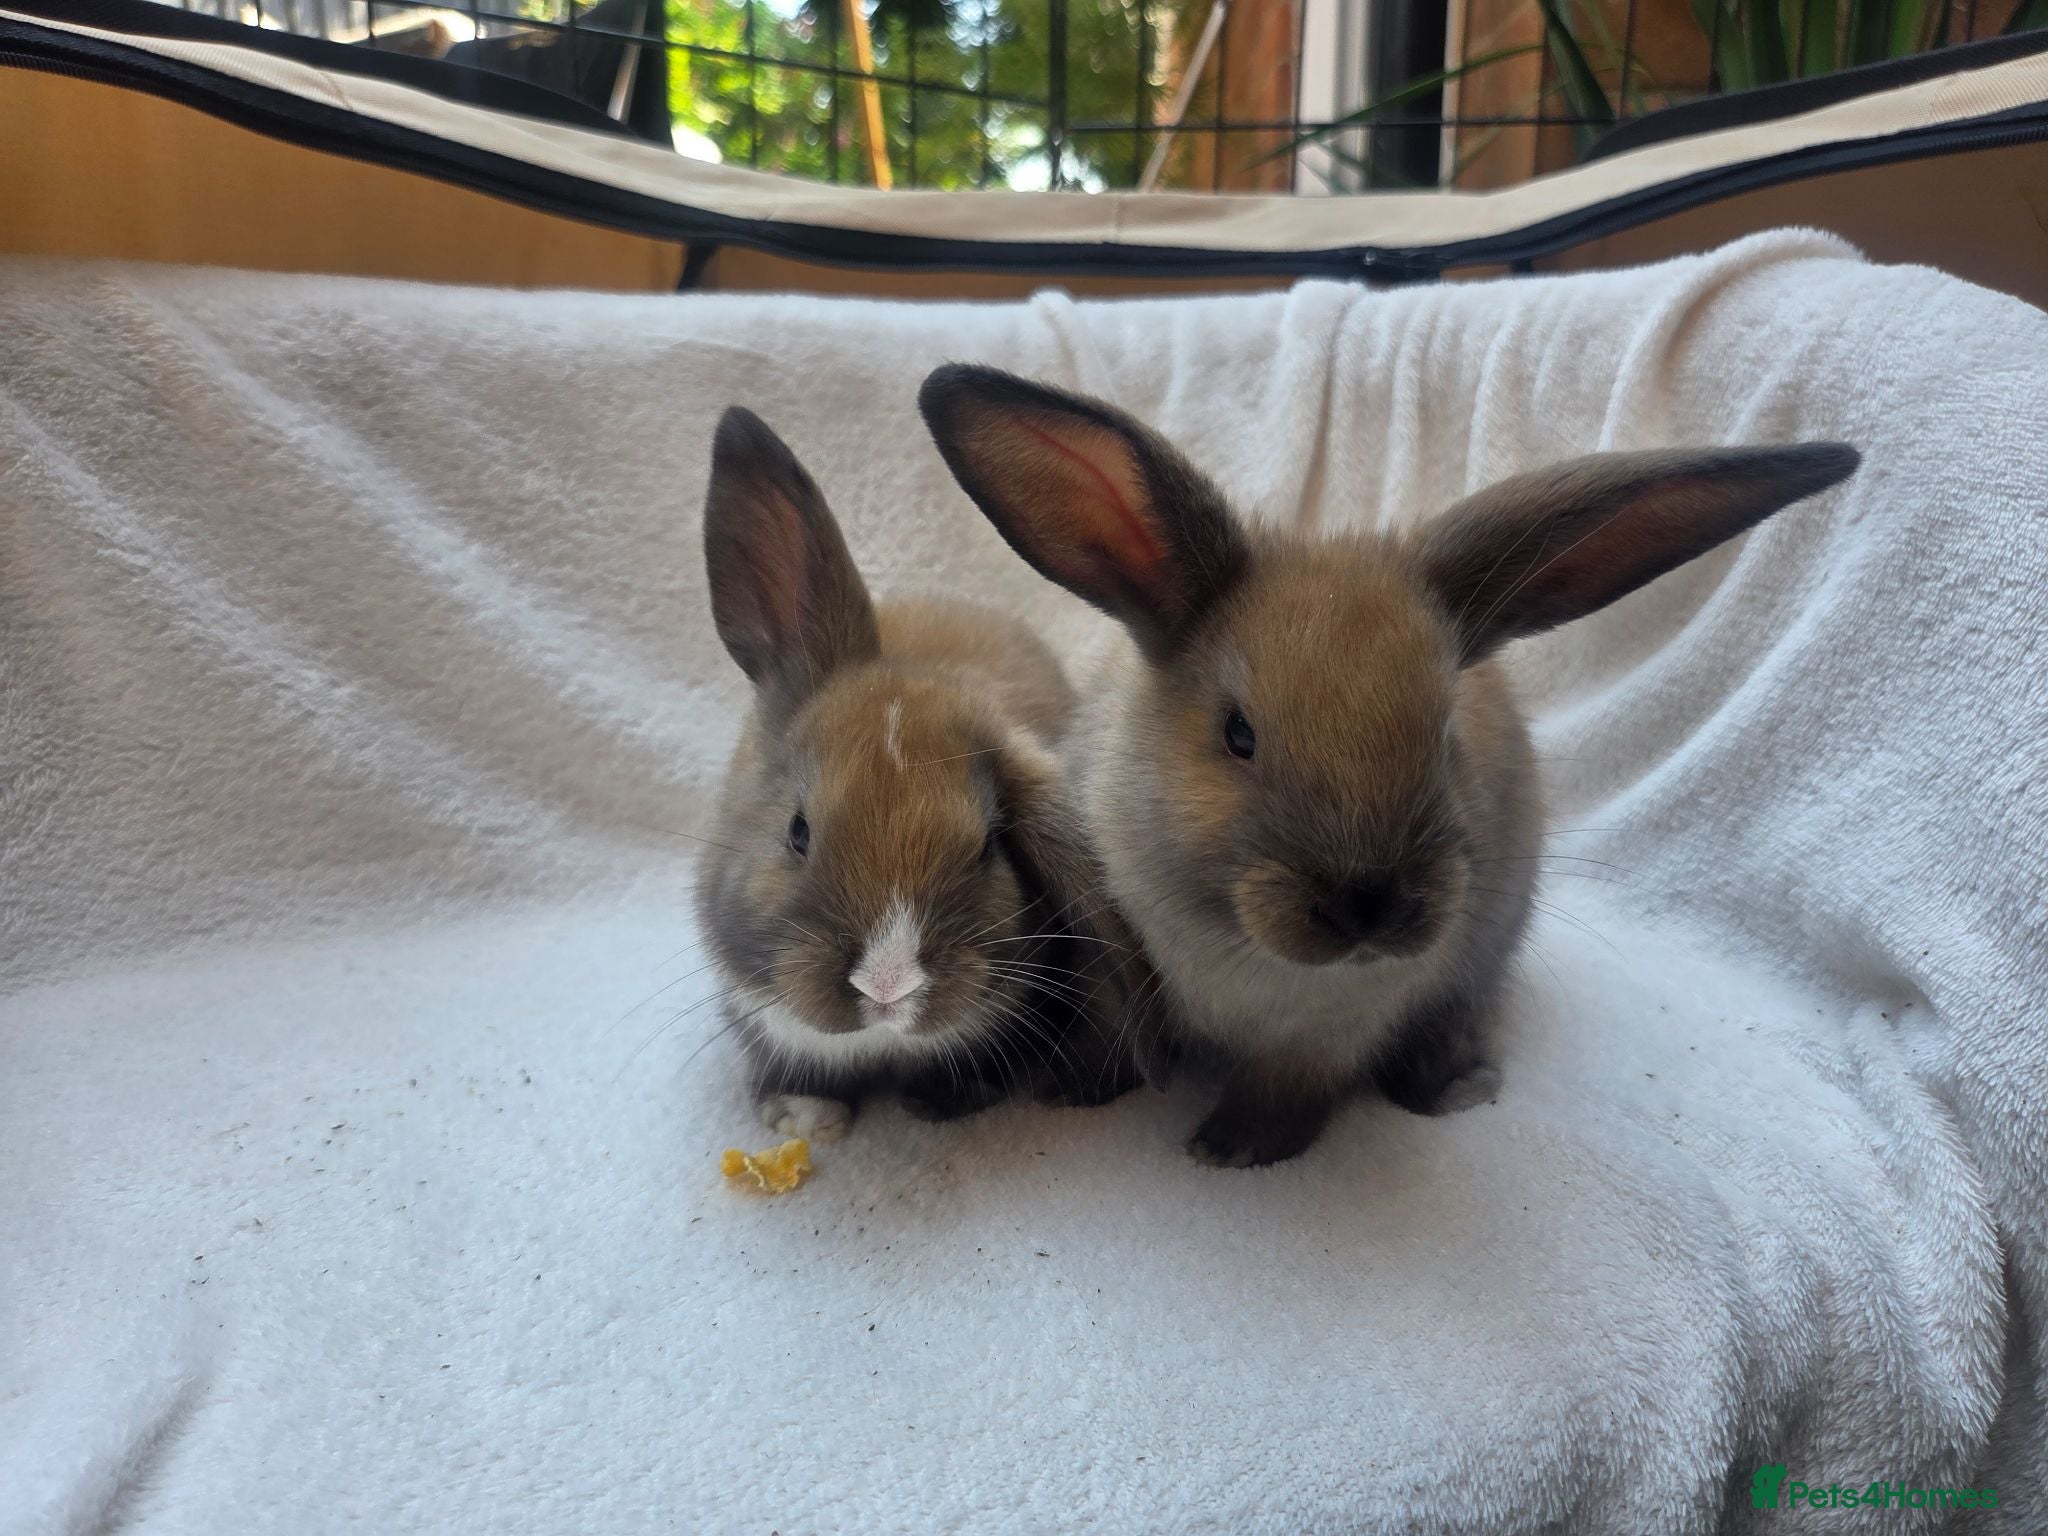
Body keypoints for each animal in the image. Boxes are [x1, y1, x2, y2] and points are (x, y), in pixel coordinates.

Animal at [918, 364, 1859, 1167]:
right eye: (1237, 735)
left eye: (1442, 733)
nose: (1369, 903)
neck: (1245, 957)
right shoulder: (1110, 964)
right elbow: (1111, 1033)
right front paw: (1073, 1092)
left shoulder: (1325, 1041)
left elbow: (1287, 1096)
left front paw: (1230, 1151)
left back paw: (1455, 1087)